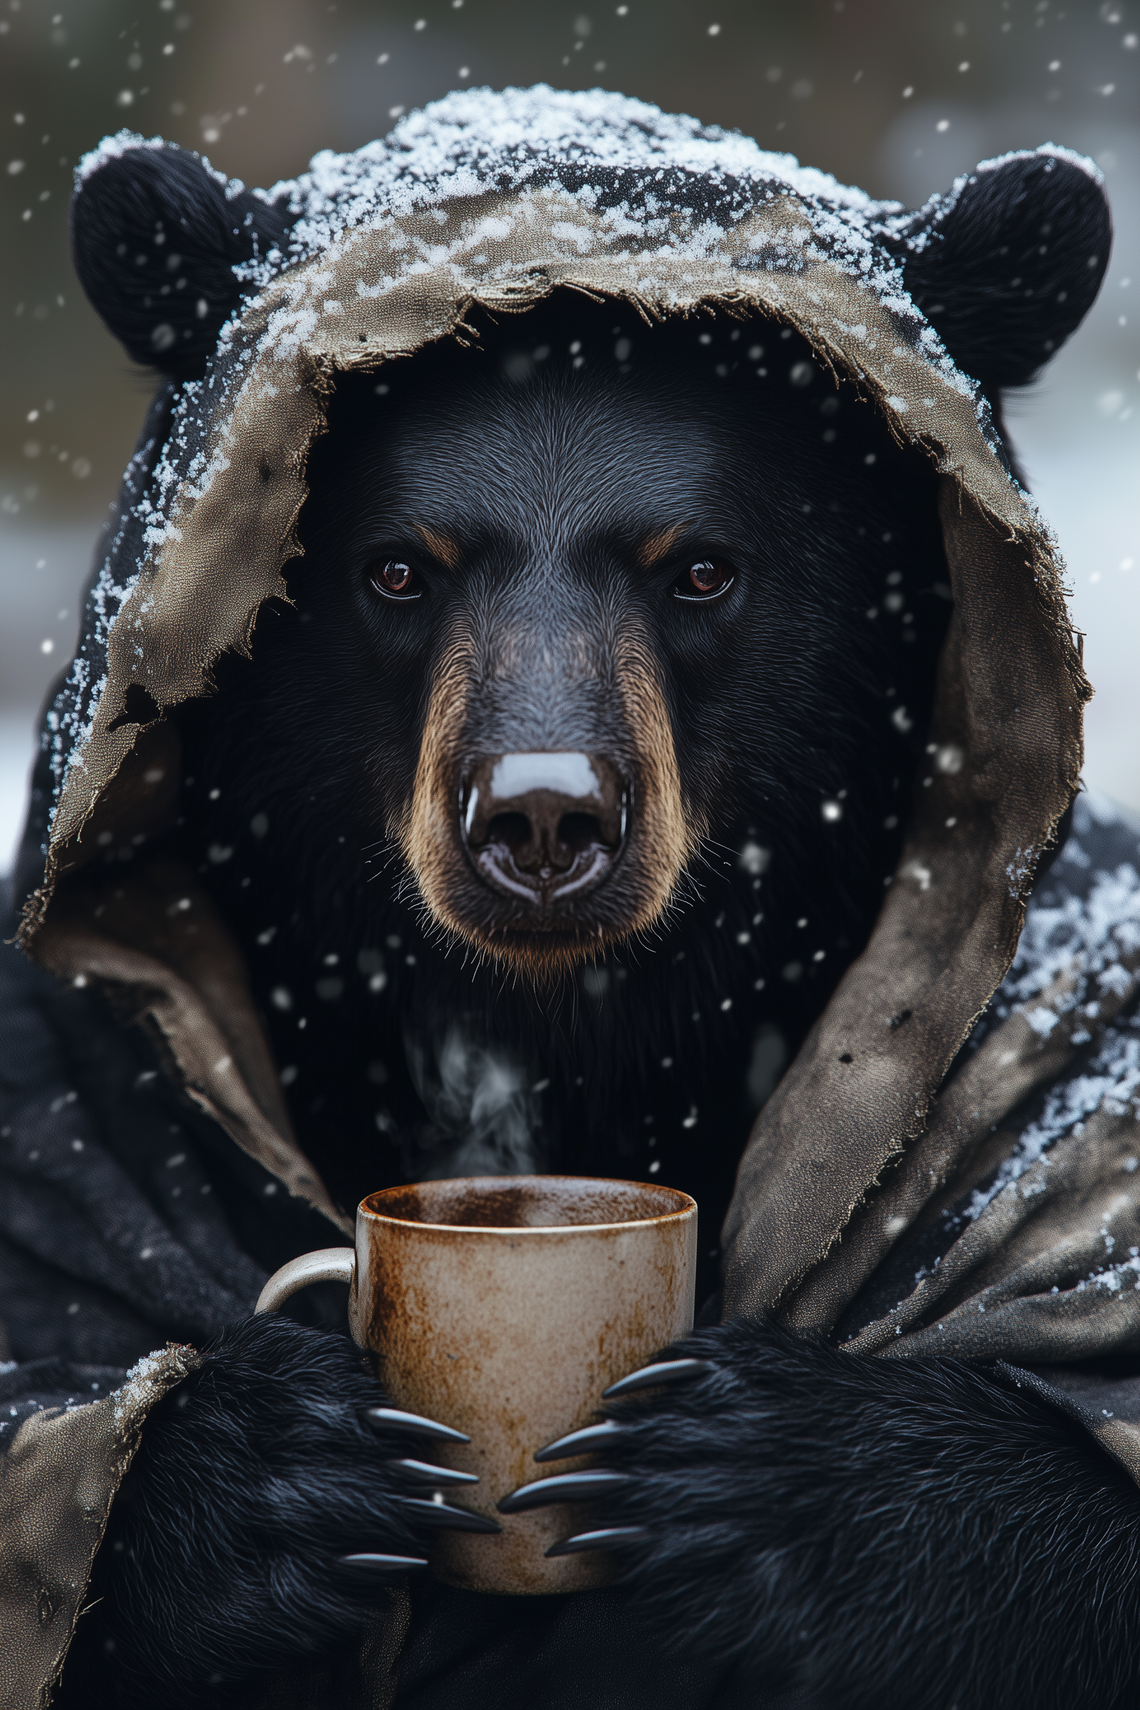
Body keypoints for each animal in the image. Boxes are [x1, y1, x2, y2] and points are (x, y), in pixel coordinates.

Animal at [2, 90, 1140, 1710]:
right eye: (396, 571)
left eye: (703, 569)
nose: (543, 818)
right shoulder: (67, 1126)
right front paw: (281, 1459)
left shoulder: (1072, 1111)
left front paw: (753, 1468)